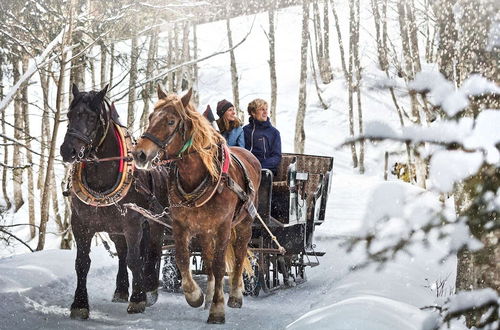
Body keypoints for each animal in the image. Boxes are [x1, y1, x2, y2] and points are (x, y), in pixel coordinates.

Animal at [133, 87, 262, 322]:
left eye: (171, 121)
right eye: (150, 117)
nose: (139, 153)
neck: (200, 177)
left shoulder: (223, 226)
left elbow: (220, 266)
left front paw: (217, 309)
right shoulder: (180, 224)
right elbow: (183, 259)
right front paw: (195, 295)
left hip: (244, 223)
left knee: (239, 255)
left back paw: (235, 295)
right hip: (205, 230)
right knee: (208, 260)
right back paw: (210, 294)